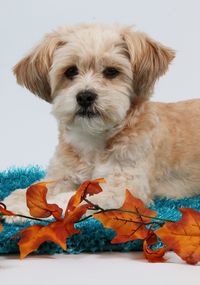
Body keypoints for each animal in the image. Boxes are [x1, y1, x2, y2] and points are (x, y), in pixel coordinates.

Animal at [2, 22, 200, 222]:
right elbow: (40, 186)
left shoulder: (124, 188)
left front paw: (34, 207)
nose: (85, 96)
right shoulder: (62, 173)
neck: (93, 141)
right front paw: (21, 200)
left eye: (111, 71)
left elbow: (74, 199)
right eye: (71, 71)